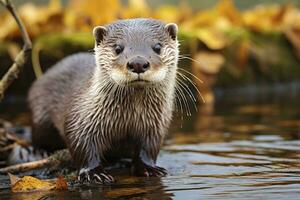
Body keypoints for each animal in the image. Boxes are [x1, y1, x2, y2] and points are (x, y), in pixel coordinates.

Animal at [27, 18, 178, 183]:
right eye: (118, 48)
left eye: (157, 47)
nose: (138, 63)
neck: (127, 119)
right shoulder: (82, 120)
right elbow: (82, 146)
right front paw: (93, 173)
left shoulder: (155, 125)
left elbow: (148, 148)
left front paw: (148, 168)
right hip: (41, 115)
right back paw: (39, 152)